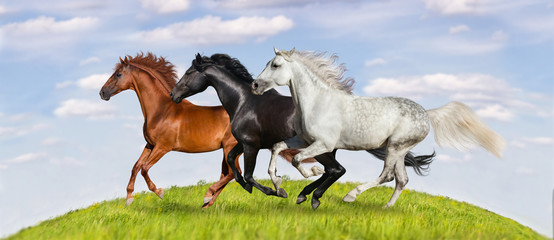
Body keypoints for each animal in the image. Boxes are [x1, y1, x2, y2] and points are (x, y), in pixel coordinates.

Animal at [98, 52, 239, 208]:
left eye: (118, 74)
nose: (102, 92)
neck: (161, 110)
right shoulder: (150, 145)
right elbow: (136, 166)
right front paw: (129, 197)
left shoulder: (163, 147)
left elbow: (144, 168)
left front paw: (159, 192)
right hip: (228, 150)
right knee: (227, 174)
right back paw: (207, 203)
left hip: (229, 147)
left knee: (232, 173)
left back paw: (207, 197)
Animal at [168, 53, 432, 209]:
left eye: (189, 73)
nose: (173, 94)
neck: (245, 101)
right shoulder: (244, 144)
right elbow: (234, 164)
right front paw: (254, 186)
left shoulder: (252, 144)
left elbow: (250, 174)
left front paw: (277, 191)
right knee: (335, 171)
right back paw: (310, 194)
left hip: (324, 149)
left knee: (337, 170)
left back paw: (311, 195)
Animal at [252, 47, 502, 208]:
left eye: (275, 65)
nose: (255, 85)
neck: (317, 101)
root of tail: (427, 114)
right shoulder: (303, 139)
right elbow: (277, 147)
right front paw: (279, 186)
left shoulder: (324, 144)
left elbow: (297, 160)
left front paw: (309, 176)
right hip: (399, 150)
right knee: (402, 180)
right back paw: (386, 208)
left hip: (395, 147)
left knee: (387, 176)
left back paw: (351, 196)